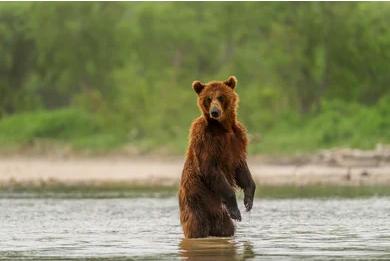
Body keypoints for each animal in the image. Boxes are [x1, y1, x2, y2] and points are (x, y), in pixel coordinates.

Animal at [177, 75, 256, 238]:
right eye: (208, 98)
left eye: (221, 97)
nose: (214, 112)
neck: (223, 128)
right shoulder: (205, 140)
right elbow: (210, 168)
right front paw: (236, 211)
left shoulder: (237, 140)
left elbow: (241, 168)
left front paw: (248, 200)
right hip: (196, 202)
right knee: (196, 226)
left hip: (219, 215)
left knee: (225, 228)